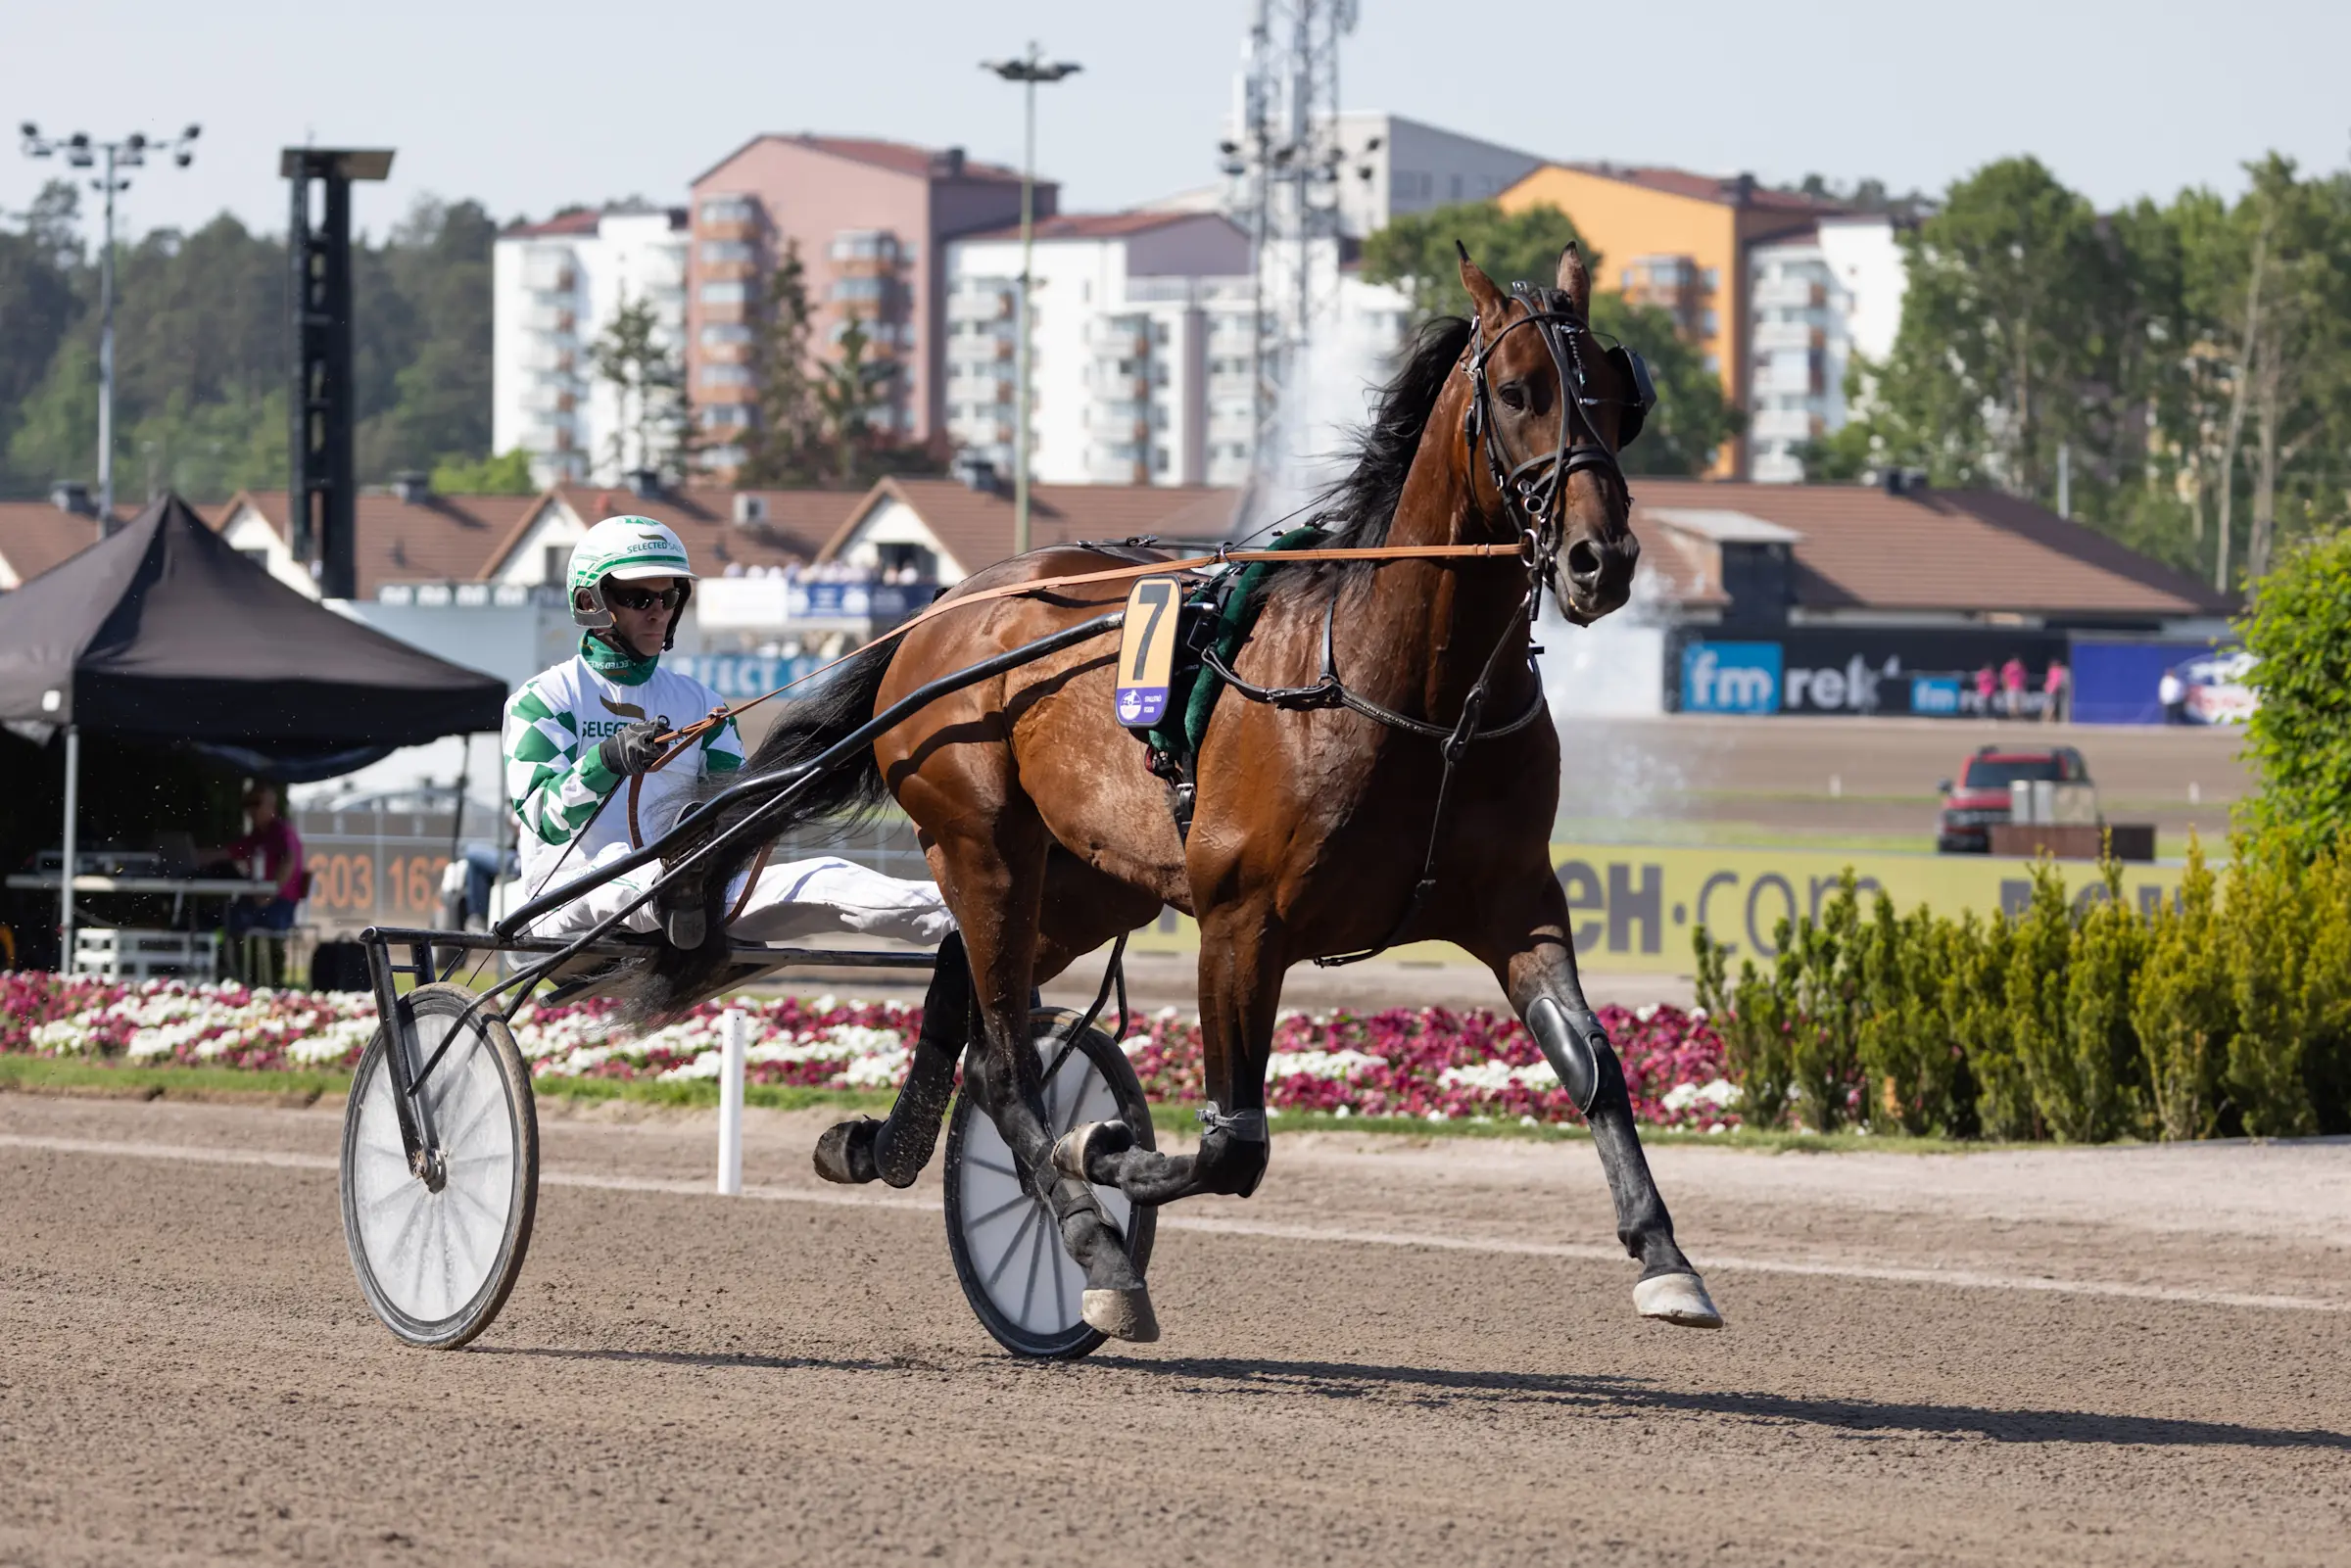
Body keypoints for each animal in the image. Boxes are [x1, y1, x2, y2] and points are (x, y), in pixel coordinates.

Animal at [635, 248, 1720, 1354]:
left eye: (1620, 397)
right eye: (1517, 393)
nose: (1601, 560)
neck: (1413, 697)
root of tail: (942, 609)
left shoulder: (1516, 903)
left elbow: (1593, 1064)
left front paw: (1664, 1258)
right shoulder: (1241, 923)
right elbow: (1233, 1144)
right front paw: (1099, 1149)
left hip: (1085, 880)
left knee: (968, 1002)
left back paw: (890, 1146)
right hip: (980, 842)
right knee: (1005, 1058)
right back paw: (1092, 1241)